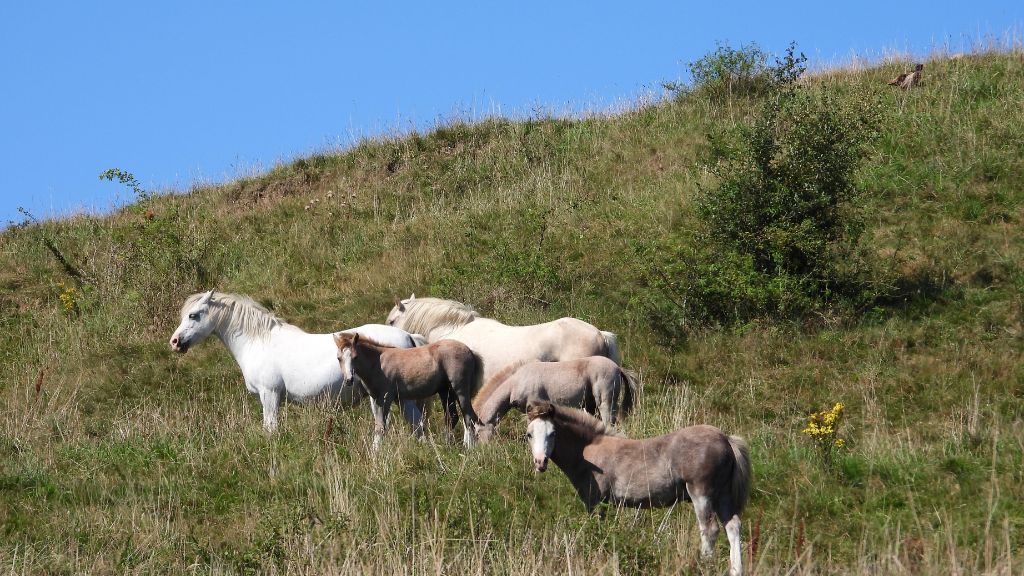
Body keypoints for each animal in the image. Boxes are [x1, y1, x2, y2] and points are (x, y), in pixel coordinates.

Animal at [169, 290, 427, 432]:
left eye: (193, 315)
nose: (175, 342)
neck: (260, 341)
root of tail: (408, 336)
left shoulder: (269, 395)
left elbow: (270, 428)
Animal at [333, 332, 482, 450]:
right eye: (339, 358)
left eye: (355, 357)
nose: (349, 380)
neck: (377, 363)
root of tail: (470, 351)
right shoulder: (377, 399)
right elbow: (379, 426)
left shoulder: (386, 397)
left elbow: (381, 427)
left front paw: (376, 454)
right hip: (445, 391)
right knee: (452, 417)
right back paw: (447, 445)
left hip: (460, 389)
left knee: (469, 417)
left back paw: (468, 448)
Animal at [525, 400, 751, 576]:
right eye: (528, 434)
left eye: (553, 433)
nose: (540, 462)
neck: (587, 452)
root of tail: (726, 439)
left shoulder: (596, 501)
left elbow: (597, 530)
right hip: (723, 495)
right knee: (733, 526)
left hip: (701, 493)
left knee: (710, 530)